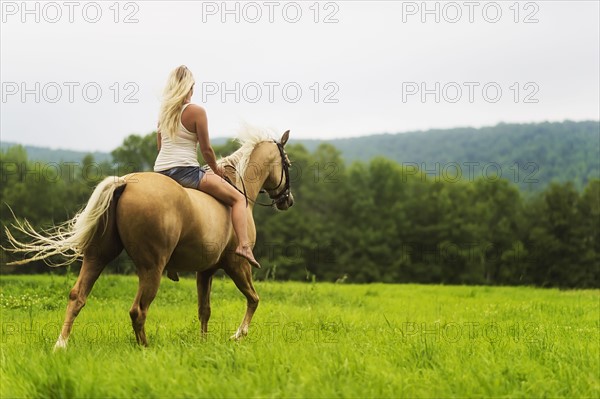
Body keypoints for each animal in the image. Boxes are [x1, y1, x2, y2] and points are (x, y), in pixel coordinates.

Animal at [3, 130, 294, 348]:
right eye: (288, 164)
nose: (287, 201)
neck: (239, 189)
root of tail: (125, 182)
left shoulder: (205, 271)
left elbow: (205, 310)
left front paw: (203, 343)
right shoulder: (237, 264)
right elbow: (253, 299)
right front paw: (237, 335)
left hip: (98, 256)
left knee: (78, 296)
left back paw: (61, 344)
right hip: (152, 268)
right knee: (138, 310)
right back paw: (145, 348)